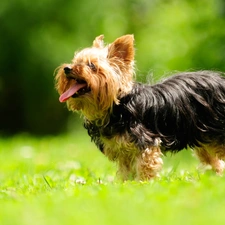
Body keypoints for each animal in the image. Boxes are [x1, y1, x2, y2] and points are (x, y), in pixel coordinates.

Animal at [54, 34, 225, 180]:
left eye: (92, 66)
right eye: (75, 61)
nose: (67, 69)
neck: (116, 107)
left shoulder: (146, 143)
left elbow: (145, 167)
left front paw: (144, 184)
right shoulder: (123, 151)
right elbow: (126, 171)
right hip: (204, 139)